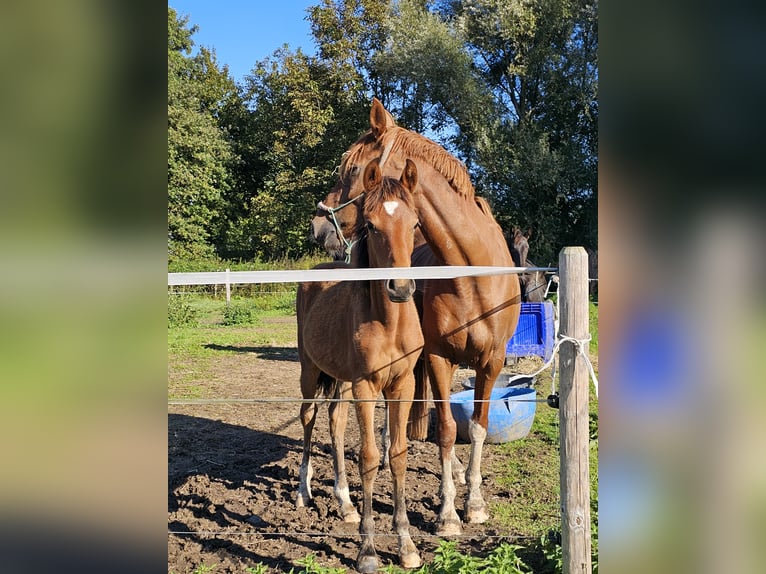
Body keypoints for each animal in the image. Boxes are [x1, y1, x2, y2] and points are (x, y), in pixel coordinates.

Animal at [296, 159, 426, 574]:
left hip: (338, 379)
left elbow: (397, 455)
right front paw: (367, 551)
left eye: (415, 223)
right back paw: (303, 493)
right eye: (371, 225)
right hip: (309, 371)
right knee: (309, 418)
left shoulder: (402, 385)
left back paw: (345, 502)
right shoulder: (366, 386)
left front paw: (406, 545)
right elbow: (369, 457)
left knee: (335, 423)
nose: (400, 288)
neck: (389, 324)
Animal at [312, 100, 520, 540]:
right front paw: (447, 514)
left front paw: (474, 504)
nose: (319, 227)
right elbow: (446, 430)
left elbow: (477, 425)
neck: (472, 272)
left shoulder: (491, 361)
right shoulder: (440, 358)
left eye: (351, 169)